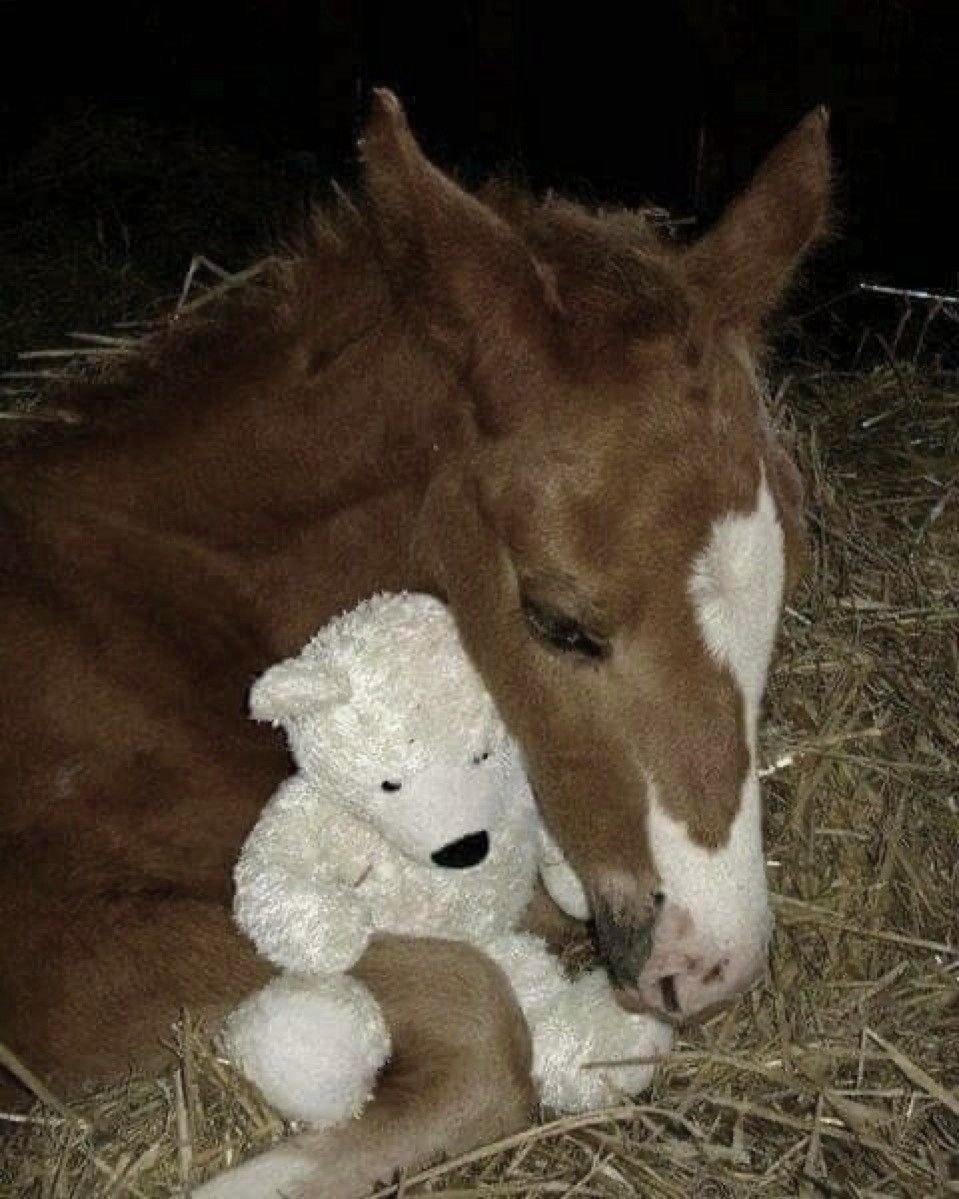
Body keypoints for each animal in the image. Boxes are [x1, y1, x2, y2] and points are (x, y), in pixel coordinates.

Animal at [0, 90, 828, 1194]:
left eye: (783, 586)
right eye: (556, 620)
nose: (710, 967)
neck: (147, 609)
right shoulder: (55, 951)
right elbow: (475, 1008)